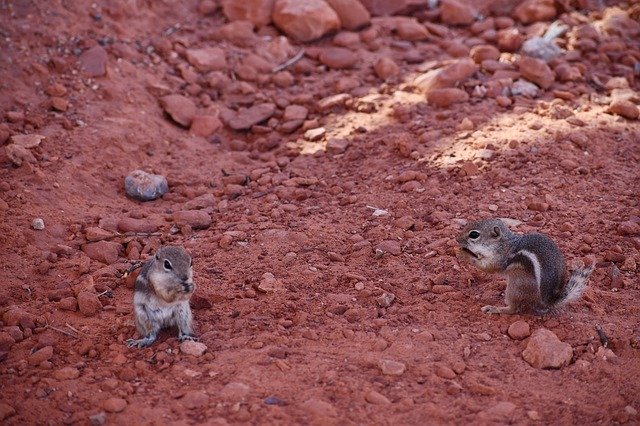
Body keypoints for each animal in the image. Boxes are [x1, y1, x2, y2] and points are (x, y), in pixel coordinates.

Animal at [458, 218, 592, 314]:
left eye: (474, 234)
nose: (457, 239)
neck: (504, 242)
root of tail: (548, 302)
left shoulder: (501, 258)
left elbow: (490, 267)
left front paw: (464, 253)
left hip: (517, 285)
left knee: (514, 309)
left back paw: (495, 309)